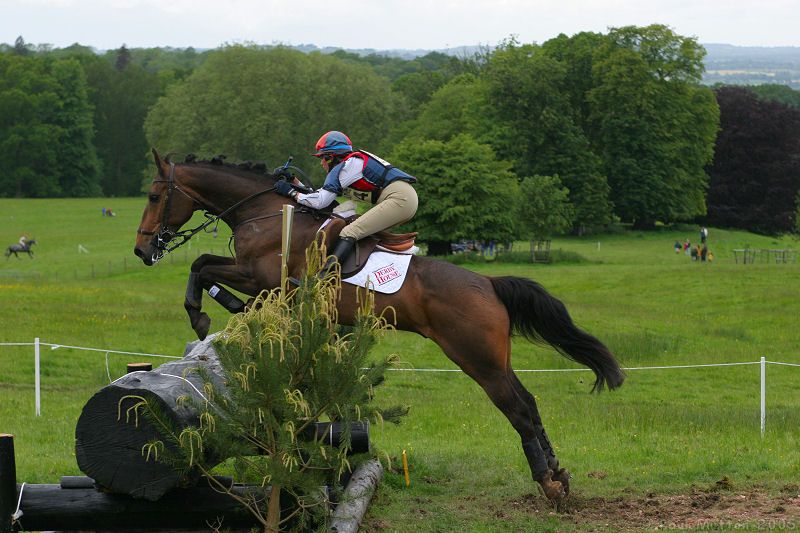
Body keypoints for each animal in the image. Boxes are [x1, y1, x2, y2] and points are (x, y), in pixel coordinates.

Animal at [136, 149, 624, 498]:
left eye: (155, 196)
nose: (143, 251)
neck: (268, 213)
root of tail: (488, 283)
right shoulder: (258, 281)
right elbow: (204, 265)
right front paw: (221, 311)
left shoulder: (259, 278)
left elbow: (201, 266)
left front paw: (204, 313)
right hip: (494, 359)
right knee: (530, 402)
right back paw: (558, 473)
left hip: (476, 358)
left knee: (519, 409)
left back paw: (547, 482)